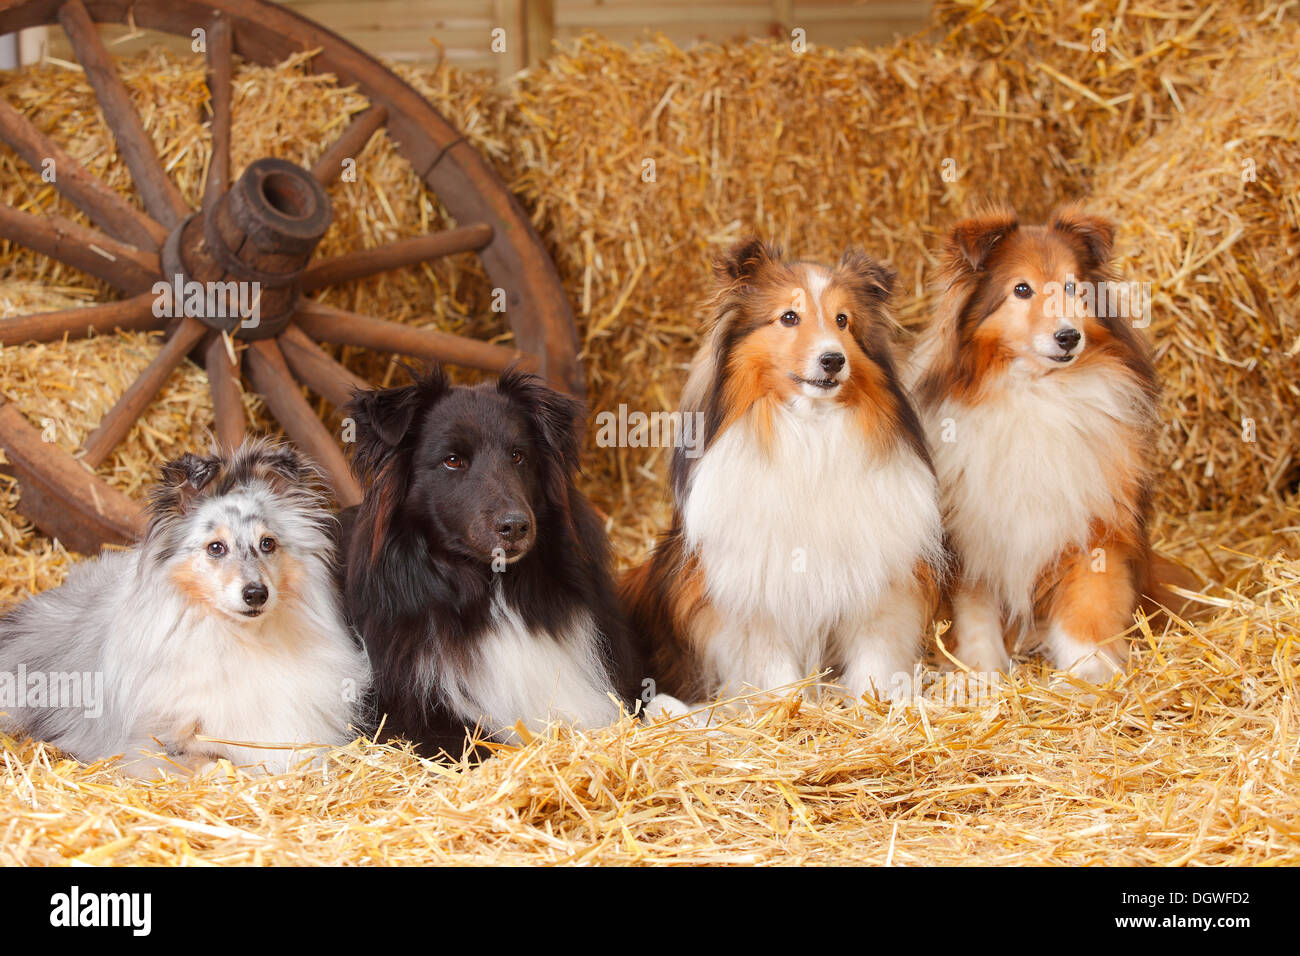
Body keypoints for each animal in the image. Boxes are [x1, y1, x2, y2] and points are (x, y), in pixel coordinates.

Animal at [0, 442, 371, 780]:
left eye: (268, 543)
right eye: (215, 548)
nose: (256, 594)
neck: (241, 639)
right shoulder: (148, 745)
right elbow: (213, 764)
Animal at [621, 239, 946, 702]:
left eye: (843, 320)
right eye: (789, 317)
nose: (833, 360)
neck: (810, 431)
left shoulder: (879, 585)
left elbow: (875, 655)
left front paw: (877, 703)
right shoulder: (754, 593)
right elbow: (773, 667)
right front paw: (788, 706)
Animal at [904, 204, 1170, 681]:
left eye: (1072, 287)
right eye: (1022, 289)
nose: (1068, 337)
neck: (1037, 392)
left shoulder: (1095, 529)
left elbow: (1089, 612)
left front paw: (1090, 677)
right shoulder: (971, 541)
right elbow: (976, 618)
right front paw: (983, 674)